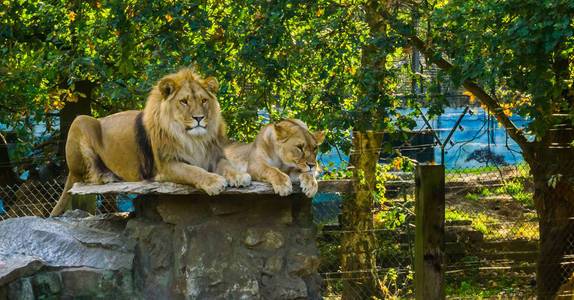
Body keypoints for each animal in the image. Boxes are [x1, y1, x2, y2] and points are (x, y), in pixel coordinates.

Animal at [51, 68, 252, 216]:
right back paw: (107, 176)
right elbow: (194, 171)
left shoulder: (214, 156)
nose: (199, 118)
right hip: (81, 120)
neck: (193, 139)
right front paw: (214, 181)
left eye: (203, 100)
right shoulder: (166, 165)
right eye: (184, 101)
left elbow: (227, 165)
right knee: (88, 174)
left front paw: (239, 176)